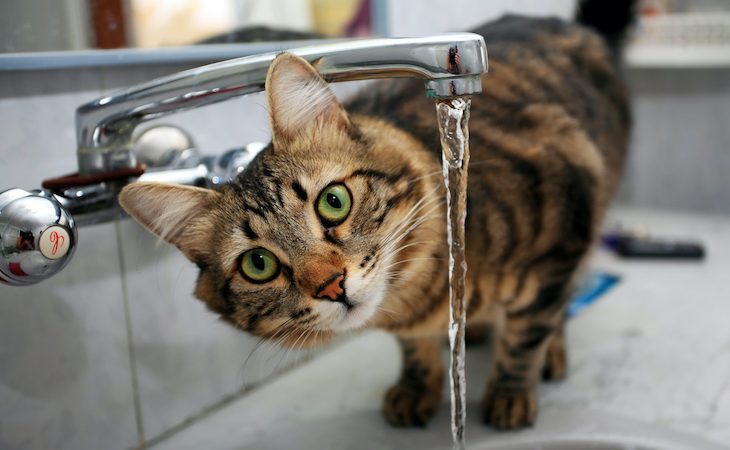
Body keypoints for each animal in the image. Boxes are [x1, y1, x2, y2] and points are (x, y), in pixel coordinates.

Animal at [118, 0, 632, 428]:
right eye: (257, 264)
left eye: (334, 201)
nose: (332, 286)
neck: (420, 299)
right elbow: (416, 349)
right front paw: (417, 385)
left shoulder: (566, 227)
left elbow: (527, 333)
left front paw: (510, 393)